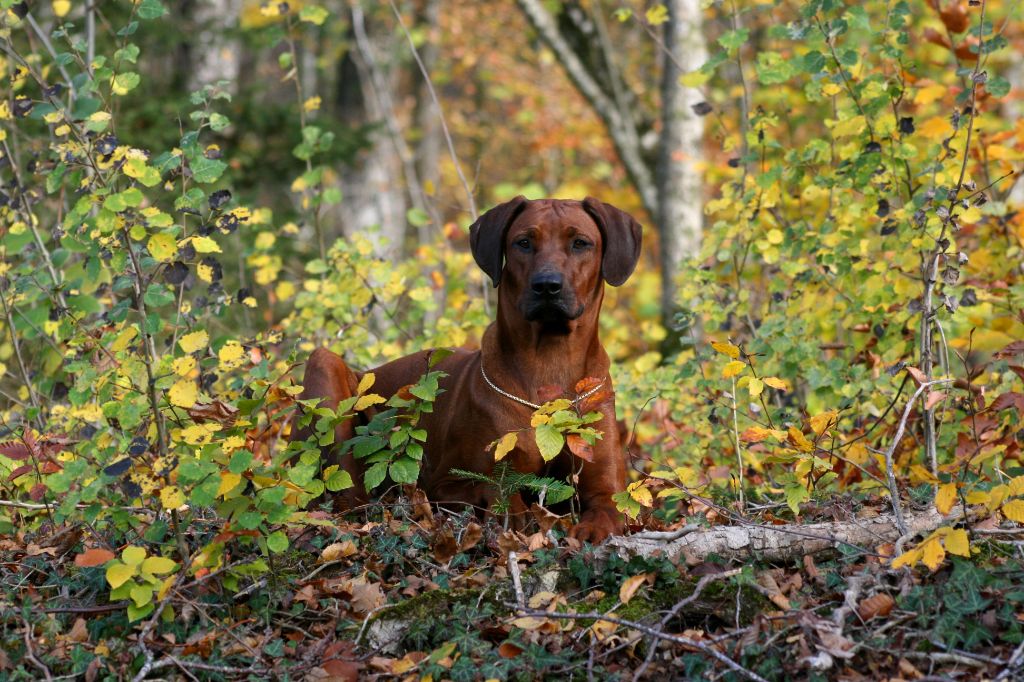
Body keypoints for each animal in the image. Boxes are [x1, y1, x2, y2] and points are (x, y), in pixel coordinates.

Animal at [292, 196, 638, 540]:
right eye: (523, 242)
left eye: (580, 243)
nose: (547, 286)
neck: (550, 363)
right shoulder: (446, 482)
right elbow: (497, 490)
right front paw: (518, 516)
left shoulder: (607, 489)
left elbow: (608, 510)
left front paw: (587, 532)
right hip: (324, 365)